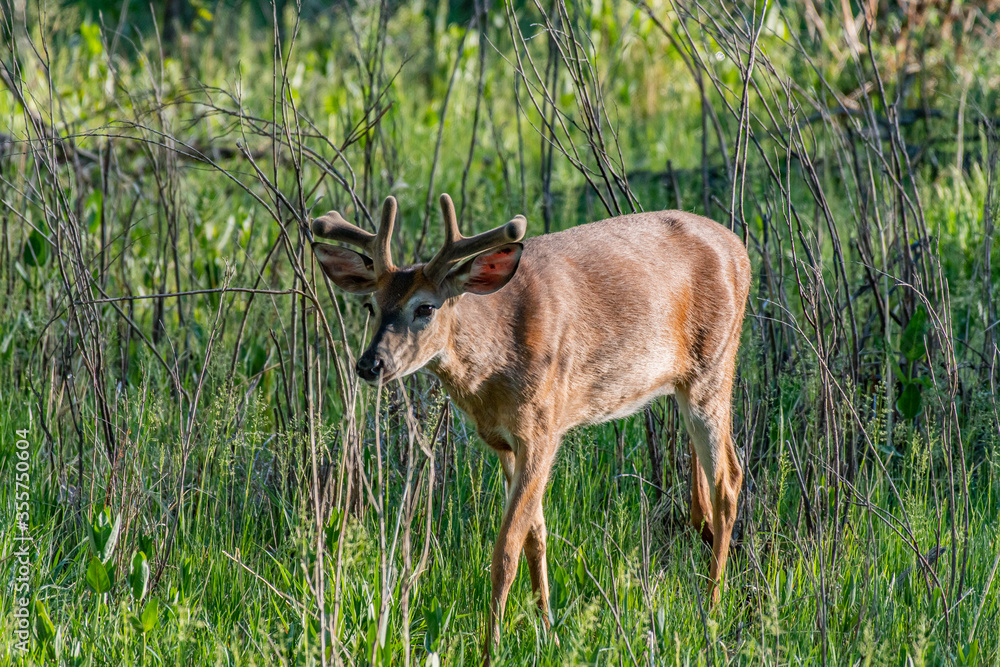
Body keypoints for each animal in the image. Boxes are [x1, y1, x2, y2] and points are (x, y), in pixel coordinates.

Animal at [311, 193, 750, 654]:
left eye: (425, 307)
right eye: (371, 306)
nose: (369, 364)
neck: (496, 358)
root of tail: (738, 249)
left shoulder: (544, 428)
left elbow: (506, 548)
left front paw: (491, 646)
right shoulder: (504, 442)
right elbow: (535, 534)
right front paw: (546, 625)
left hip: (713, 367)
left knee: (728, 480)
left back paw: (712, 608)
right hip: (684, 385)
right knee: (704, 489)